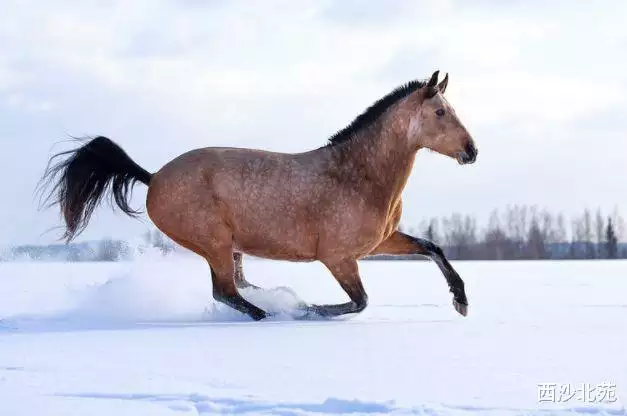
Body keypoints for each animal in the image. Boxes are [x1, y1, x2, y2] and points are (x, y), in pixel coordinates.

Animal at [39, 70, 478, 322]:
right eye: (441, 112)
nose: (471, 151)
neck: (358, 175)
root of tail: (154, 177)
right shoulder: (338, 257)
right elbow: (360, 301)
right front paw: (307, 310)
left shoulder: (380, 242)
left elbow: (432, 247)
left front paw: (461, 301)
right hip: (214, 242)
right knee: (226, 292)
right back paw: (270, 313)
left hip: (229, 247)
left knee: (237, 285)